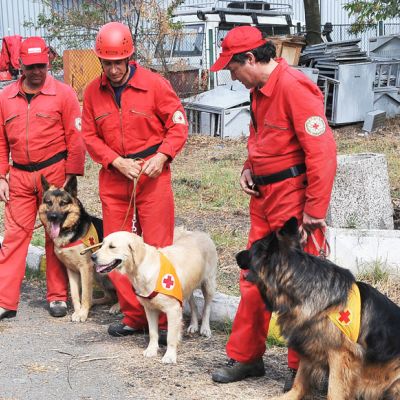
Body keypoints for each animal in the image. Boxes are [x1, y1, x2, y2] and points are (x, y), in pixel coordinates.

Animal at [38, 176, 117, 322]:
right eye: (49, 202)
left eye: (63, 203)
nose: (53, 216)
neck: (71, 229)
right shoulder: (71, 270)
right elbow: (76, 295)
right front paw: (78, 311)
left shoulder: (85, 268)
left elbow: (84, 294)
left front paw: (82, 314)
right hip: (98, 275)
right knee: (109, 296)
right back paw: (94, 302)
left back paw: (116, 307)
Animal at [238, 217, 400, 400]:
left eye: (251, 249)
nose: (236, 255)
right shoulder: (308, 342)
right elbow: (299, 380)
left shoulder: (340, 355)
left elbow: (334, 390)